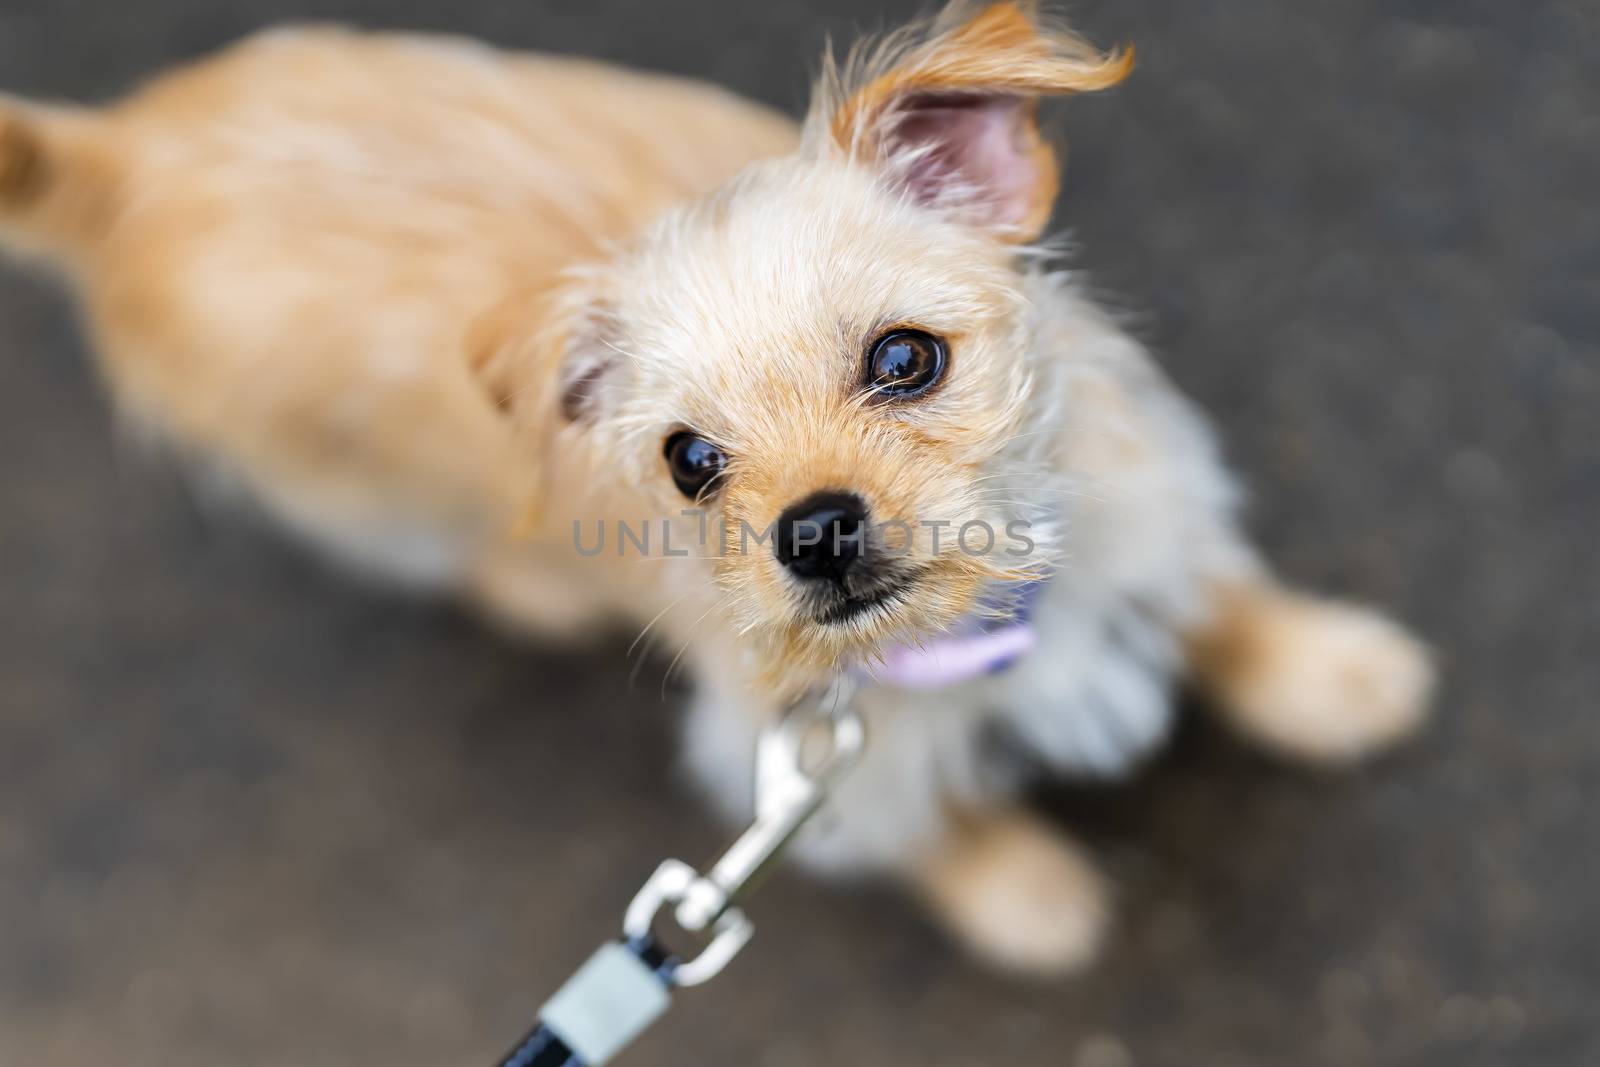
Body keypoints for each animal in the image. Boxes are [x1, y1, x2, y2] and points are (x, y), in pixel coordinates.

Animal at [0, 2, 1427, 979]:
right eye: (691, 460)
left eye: (904, 359)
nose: (816, 530)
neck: (988, 629)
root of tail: (113, 151)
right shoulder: (792, 752)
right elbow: (931, 825)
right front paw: (1024, 898)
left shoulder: (1150, 504)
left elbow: (1221, 601)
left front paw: (1326, 676)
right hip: (360, 491)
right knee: (450, 545)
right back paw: (533, 587)